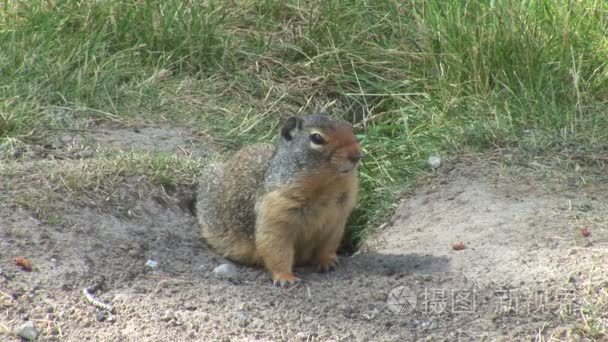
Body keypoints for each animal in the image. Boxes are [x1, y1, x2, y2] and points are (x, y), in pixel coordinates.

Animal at [197, 114, 360, 286]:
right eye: (317, 138)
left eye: (349, 127)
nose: (357, 155)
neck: (326, 188)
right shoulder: (274, 210)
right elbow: (276, 248)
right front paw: (286, 279)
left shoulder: (337, 219)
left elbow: (329, 244)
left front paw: (329, 262)